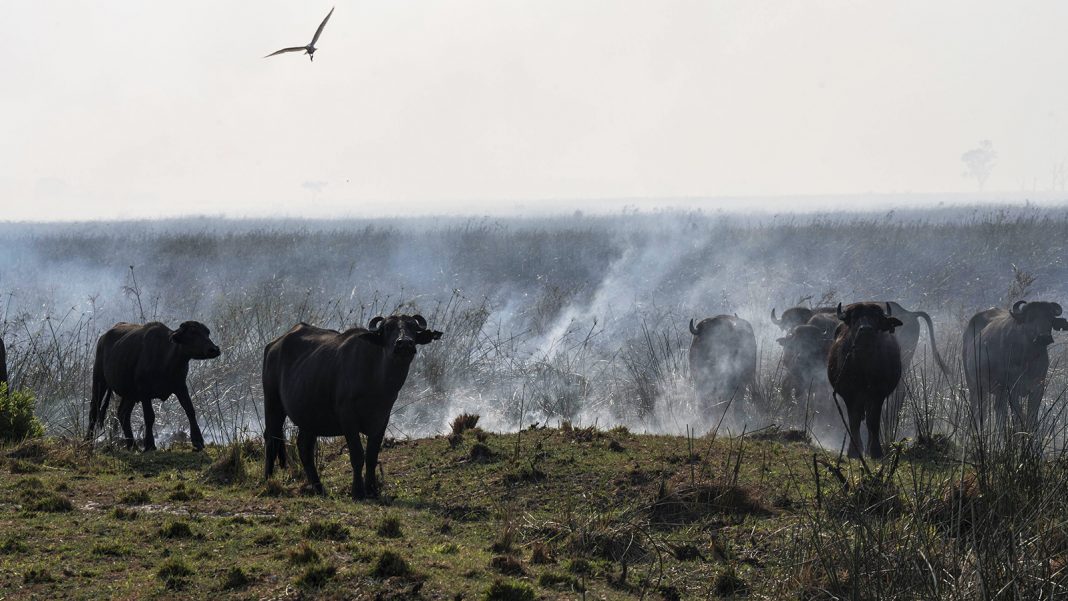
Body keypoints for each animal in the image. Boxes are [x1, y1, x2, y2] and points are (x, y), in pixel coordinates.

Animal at [87, 322, 221, 448]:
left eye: (207, 332)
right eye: (192, 332)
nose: (214, 349)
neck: (167, 362)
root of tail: (103, 338)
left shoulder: (180, 386)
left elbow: (190, 410)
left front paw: (198, 441)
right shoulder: (144, 392)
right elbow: (149, 416)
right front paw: (150, 445)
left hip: (130, 393)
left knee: (123, 414)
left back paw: (132, 445)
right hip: (99, 380)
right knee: (94, 410)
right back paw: (88, 442)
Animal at [264, 315, 444, 499]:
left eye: (413, 328)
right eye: (387, 328)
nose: (404, 343)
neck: (377, 381)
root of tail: (274, 345)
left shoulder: (382, 419)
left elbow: (372, 456)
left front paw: (371, 489)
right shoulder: (348, 418)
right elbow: (357, 455)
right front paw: (357, 491)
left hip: (309, 417)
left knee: (304, 448)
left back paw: (320, 489)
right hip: (273, 403)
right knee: (271, 438)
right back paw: (268, 480)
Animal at [824, 303, 901, 459]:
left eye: (876, 317)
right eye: (854, 317)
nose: (865, 329)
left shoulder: (878, 395)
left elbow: (873, 422)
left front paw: (876, 451)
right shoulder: (850, 395)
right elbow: (854, 421)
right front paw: (854, 451)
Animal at [961, 301, 1068, 433]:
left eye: (1050, 317)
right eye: (1030, 318)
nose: (1043, 336)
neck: (1028, 359)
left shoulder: (1038, 387)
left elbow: (1032, 417)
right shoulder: (1012, 388)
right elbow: (1018, 416)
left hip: (998, 391)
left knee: (998, 410)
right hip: (974, 385)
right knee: (979, 410)